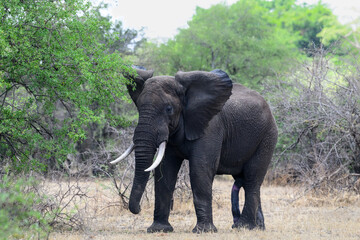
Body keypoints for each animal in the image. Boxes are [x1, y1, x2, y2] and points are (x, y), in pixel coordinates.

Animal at [112, 66, 278, 233]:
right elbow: (165, 171)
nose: (139, 209)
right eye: (139, 107)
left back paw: (243, 227)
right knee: (244, 179)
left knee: (251, 178)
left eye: (169, 109)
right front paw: (159, 229)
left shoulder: (211, 127)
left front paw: (204, 231)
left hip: (267, 137)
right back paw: (258, 228)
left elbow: (200, 169)